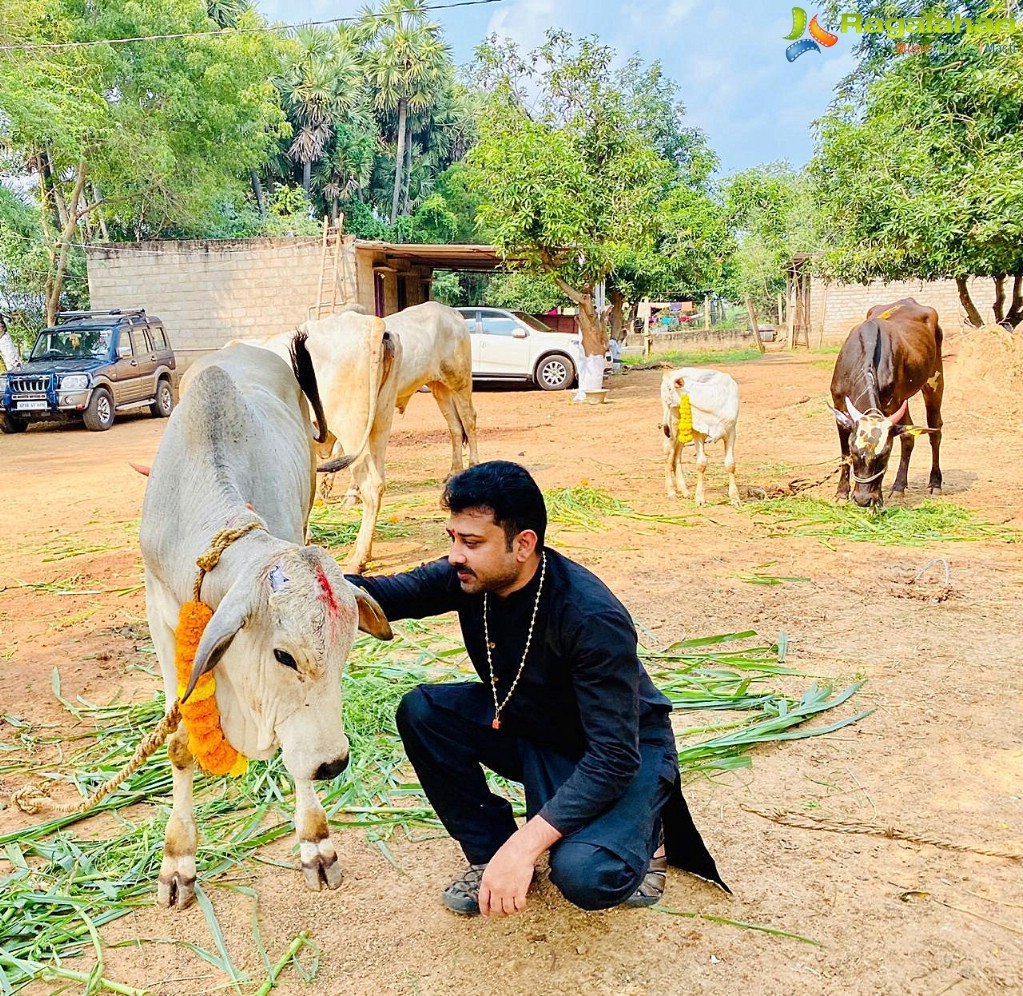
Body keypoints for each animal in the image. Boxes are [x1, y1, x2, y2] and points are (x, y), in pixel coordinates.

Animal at [146, 337, 392, 912]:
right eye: (284, 655)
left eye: (346, 654)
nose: (334, 765)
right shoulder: (159, 615)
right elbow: (179, 742)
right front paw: (178, 860)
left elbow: (291, 749)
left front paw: (316, 842)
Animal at [658, 366, 740, 507]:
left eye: (670, 389)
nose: (664, 428)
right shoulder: (698, 432)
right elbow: (701, 464)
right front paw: (700, 498)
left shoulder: (731, 431)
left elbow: (730, 464)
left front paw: (735, 498)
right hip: (674, 426)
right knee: (668, 456)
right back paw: (671, 492)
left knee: (677, 456)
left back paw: (684, 491)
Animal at [830, 298, 941, 507]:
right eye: (855, 451)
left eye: (885, 455)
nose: (863, 499)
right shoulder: (839, 408)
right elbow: (843, 454)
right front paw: (841, 492)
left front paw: (878, 498)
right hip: (903, 399)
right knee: (909, 435)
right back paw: (899, 486)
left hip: (934, 379)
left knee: (934, 429)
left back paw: (934, 482)